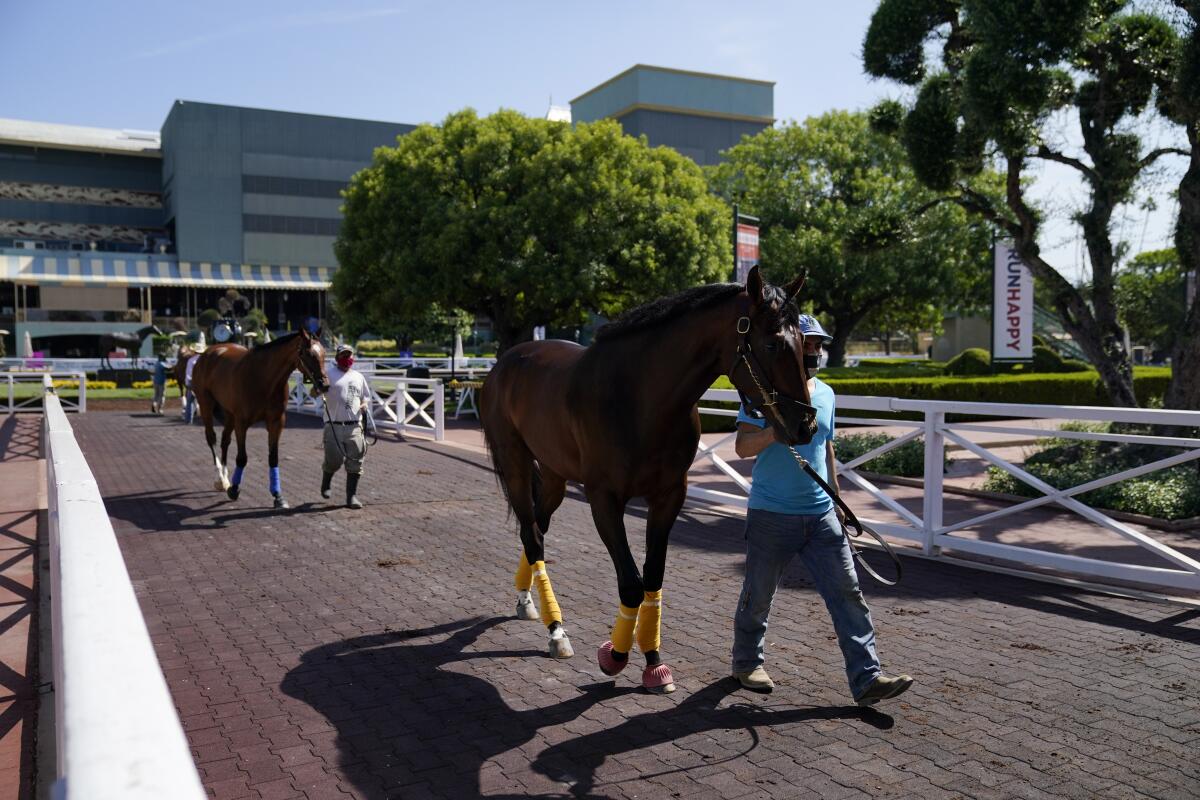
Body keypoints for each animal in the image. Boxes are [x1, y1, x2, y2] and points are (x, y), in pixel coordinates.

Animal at [193, 328, 333, 510]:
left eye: (323, 353)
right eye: (308, 353)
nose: (324, 385)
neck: (263, 378)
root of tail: (208, 353)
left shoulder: (276, 422)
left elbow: (273, 458)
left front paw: (278, 496)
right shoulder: (242, 423)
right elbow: (242, 458)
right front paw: (234, 490)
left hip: (229, 414)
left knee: (225, 441)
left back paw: (225, 478)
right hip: (206, 406)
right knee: (212, 439)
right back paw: (220, 479)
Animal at [482, 268, 820, 695]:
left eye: (803, 344)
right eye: (773, 343)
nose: (805, 425)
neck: (641, 398)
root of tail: (506, 362)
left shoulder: (669, 496)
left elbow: (652, 580)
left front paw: (654, 662)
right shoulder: (604, 499)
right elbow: (631, 581)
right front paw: (615, 655)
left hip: (556, 475)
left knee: (537, 533)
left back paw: (528, 602)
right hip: (516, 464)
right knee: (532, 536)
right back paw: (556, 629)